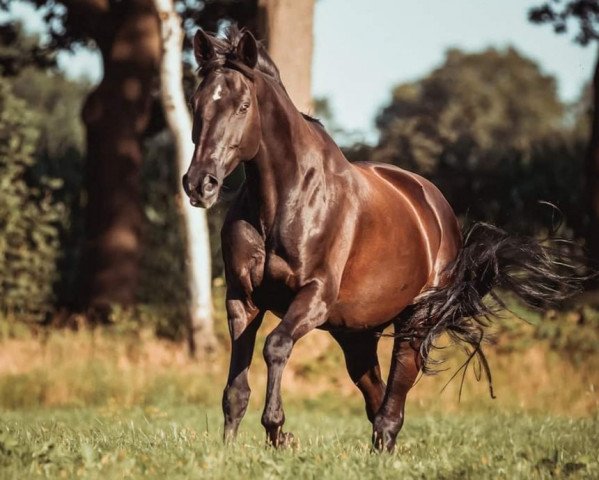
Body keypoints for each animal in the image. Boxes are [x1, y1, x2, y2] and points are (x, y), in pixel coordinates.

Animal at [185, 27, 584, 454]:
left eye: (243, 106)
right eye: (196, 103)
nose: (199, 184)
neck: (281, 202)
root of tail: (434, 205)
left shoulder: (314, 296)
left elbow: (275, 347)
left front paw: (278, 430)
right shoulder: (242, 299)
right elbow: (236, 387)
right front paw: (234, 446)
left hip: (415, 319)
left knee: (396, 390)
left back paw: (384, 440)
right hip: (355, 333)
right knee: (375, 393)